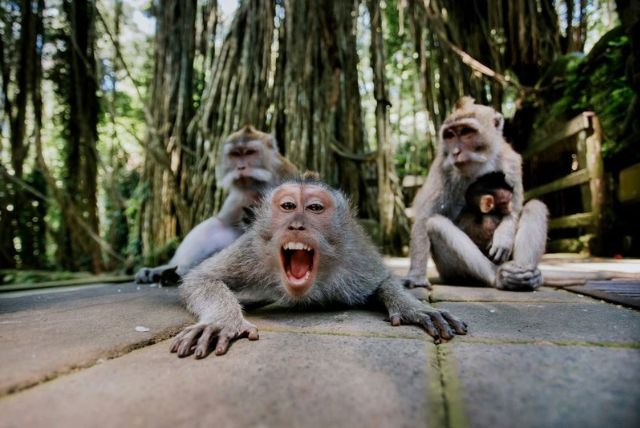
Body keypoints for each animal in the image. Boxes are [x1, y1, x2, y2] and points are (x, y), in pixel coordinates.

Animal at [135, 125, 298, 284]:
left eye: (250, 153)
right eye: (235, 154)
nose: (240, 167)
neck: (258, 188)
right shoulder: (239, 197)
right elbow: (224, 225)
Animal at [170, 174, 468, 359]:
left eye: (314, 208)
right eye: (288, 206)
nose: (296, 225)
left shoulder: (355, 256)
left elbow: (383, 280)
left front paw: (414, 308)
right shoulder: (252, 248)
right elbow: (201, 277)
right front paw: (221, 321)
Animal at [403, 97, 548, 291]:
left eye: (466, 132)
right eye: (450, 135)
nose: (455, 152)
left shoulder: (511, 161)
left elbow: (515, 207)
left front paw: (504, 234)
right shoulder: (442, 168)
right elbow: (424, 218)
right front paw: (417, 276)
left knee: (535, 206)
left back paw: (527, 276)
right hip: (450, 272)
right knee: (435, 224)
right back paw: (498, 277)